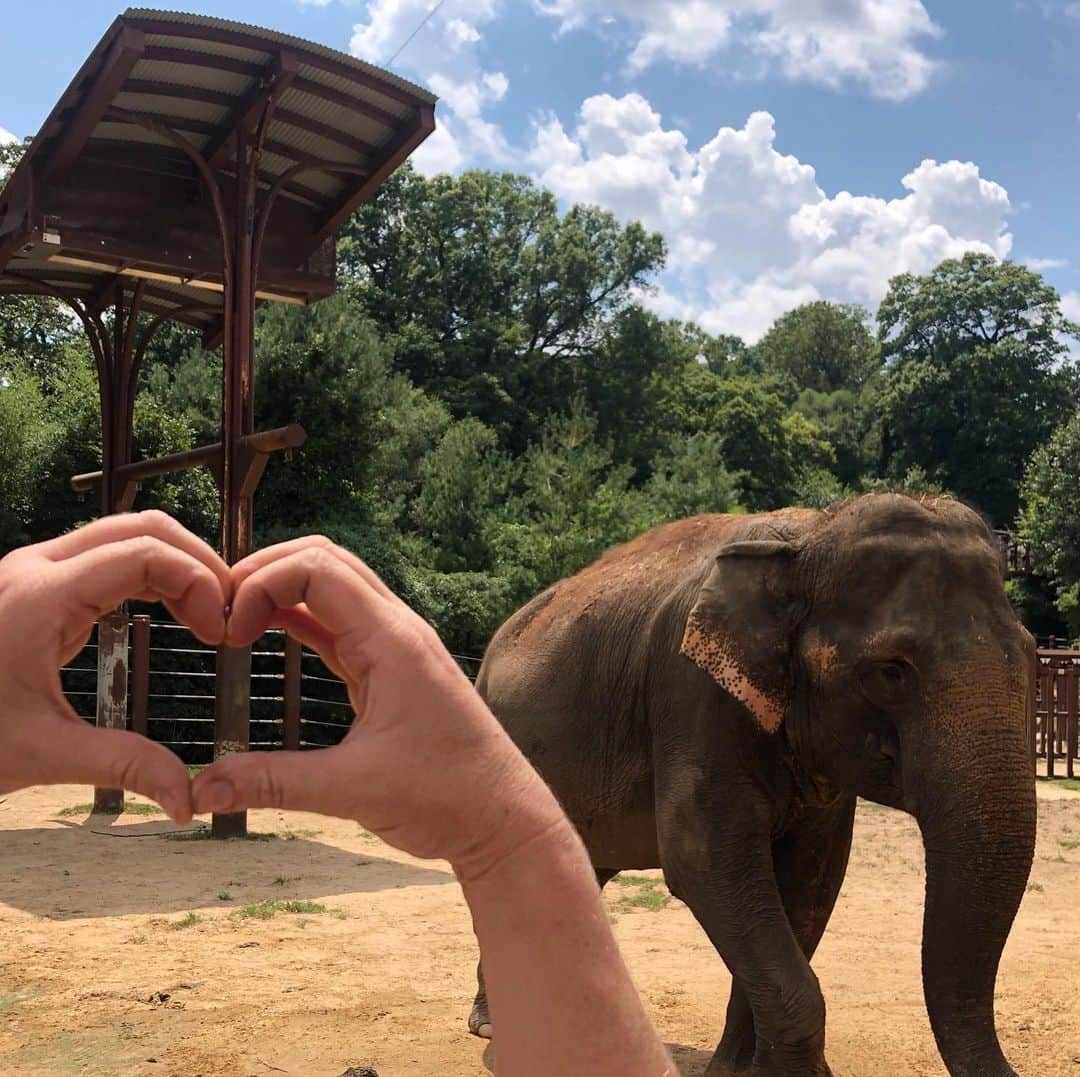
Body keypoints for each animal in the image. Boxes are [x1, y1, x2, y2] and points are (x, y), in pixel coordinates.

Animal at [466, 492, 1036, 1071]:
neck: (809, 536)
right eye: (892, 671)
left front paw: (740, 1070)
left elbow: (812, 878)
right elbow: (703, 858)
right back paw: (495, 1025)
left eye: (1032, 654)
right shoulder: (693, 695)